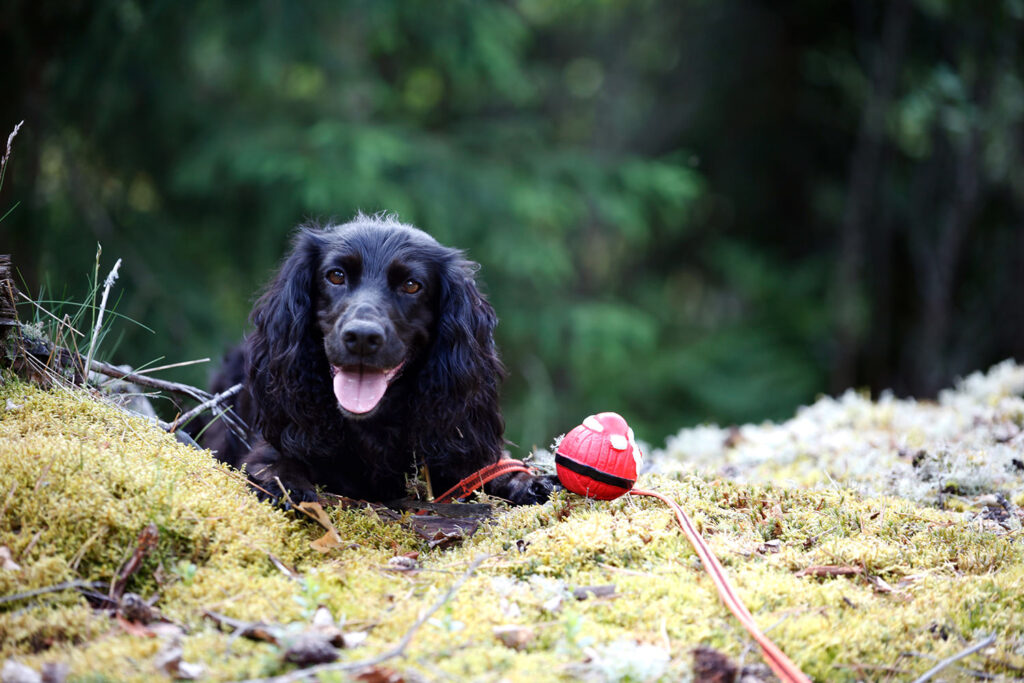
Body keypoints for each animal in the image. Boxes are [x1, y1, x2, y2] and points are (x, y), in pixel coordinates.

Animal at [199, 215, 552, 507]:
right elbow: (275, 462)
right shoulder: (269, 443)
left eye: (411, 285)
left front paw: (527, 484)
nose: (362, 337)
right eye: (336, 276)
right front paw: (288, 485)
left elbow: (490, 470)